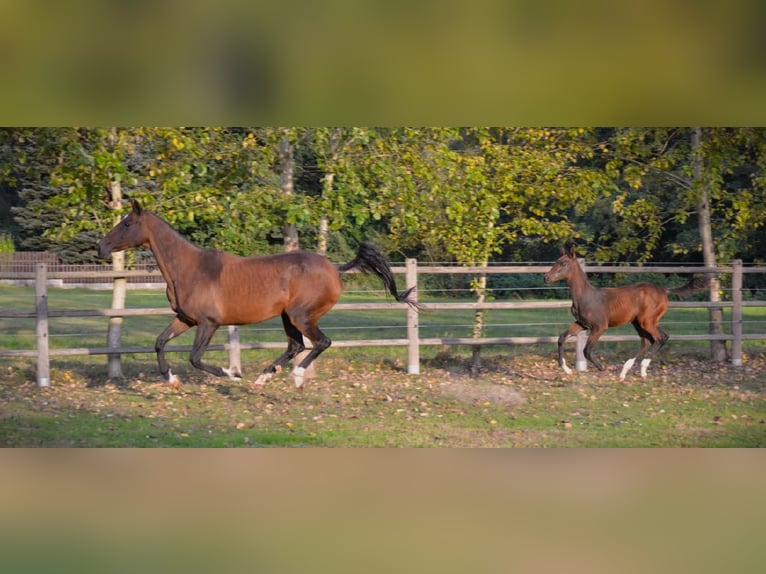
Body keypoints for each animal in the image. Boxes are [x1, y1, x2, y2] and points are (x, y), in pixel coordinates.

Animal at [99, 199, 420, 392]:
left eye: (127, 223)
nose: (101, 247)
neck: (189, 269)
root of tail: (334, 268)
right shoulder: (185, 320)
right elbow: (159, 343)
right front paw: (172, 379)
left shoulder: (208, 323)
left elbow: (195, 358)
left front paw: (231, 373)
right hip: (287, 316)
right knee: (295, 345)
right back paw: (264, 377)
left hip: (301, 316)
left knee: (320, 342)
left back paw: (295, 376)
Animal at [544, 249, 708, 380]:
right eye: (556, 261)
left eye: (563, 263)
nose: (546, 277)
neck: (585, 296)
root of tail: (664, 290)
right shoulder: (582, 324)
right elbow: (561, 338)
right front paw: (566, 369)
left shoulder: (600, 326)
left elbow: (587, 350)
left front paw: (603, 368)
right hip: (641, 322)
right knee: (648, 341)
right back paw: (629, 371)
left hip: (646, 322)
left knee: (661, 338)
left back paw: (638, 368)